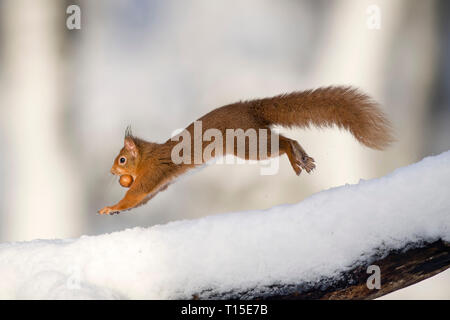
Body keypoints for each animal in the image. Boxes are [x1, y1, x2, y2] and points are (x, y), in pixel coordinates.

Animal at [97, 85, 390, 215]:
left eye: (121, 159)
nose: (110, 171)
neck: (147, 156)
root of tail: (251, 108)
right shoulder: (160, 184)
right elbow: (143, 199)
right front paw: (118, 211)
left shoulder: (153, 173)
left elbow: (136, 194)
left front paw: (111, 207)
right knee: (286, 139)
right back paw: (302, 158)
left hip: (249, 144)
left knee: (283, 141)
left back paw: (295, 157)